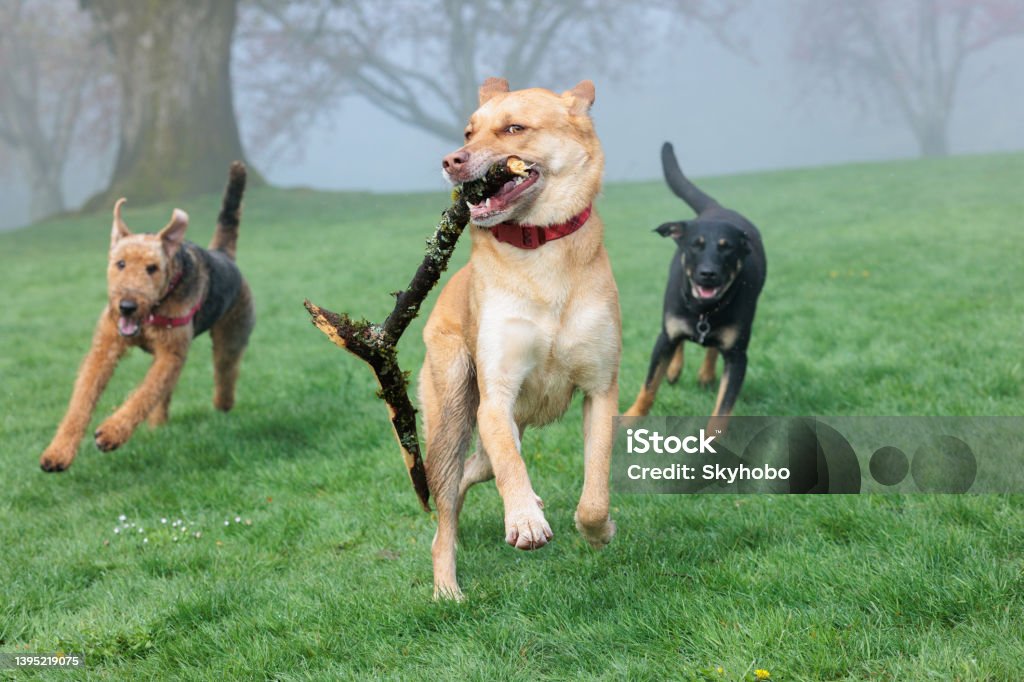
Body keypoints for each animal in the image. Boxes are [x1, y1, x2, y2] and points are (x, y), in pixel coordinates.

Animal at [39, 161, 256, 471]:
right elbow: (82, 400)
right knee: (165, 393)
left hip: (230, 337)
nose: (127, 306)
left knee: (225, 372)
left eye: (152, 268)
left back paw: (222, 405)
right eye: (120, 263)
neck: (153, 312)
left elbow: (144, 392)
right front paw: (57, 453)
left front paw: (110, 434)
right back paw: (158, 424)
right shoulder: (105, 347)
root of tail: (223, 254)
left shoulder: (170, 354)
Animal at [421, 79, 618, 598]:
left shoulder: (601, 391)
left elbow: (595, 490)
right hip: (453, 414)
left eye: (514, 129)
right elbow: (512, 466)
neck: (540, 246)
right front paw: (526, 522)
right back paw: (447, 589)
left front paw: (598, 531)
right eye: (468, 132)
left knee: (475, 472)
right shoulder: (496, 400)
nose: (450, 160)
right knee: (447, 509)